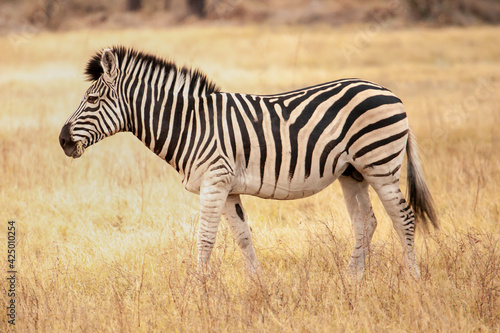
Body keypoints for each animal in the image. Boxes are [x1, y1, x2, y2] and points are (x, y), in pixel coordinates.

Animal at [59, 46, 438, 278]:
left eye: (92, 100)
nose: (62, 140)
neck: (192, 124)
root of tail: (389, 92)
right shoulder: (227, 188)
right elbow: (242, 236)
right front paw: (258, 285)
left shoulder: (214, 181)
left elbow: (205, 238)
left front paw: (198, 290)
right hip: (352, 172)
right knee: (365, 222)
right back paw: (352, 280)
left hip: (380, 163)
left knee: (403, 217)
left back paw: (412, 280)